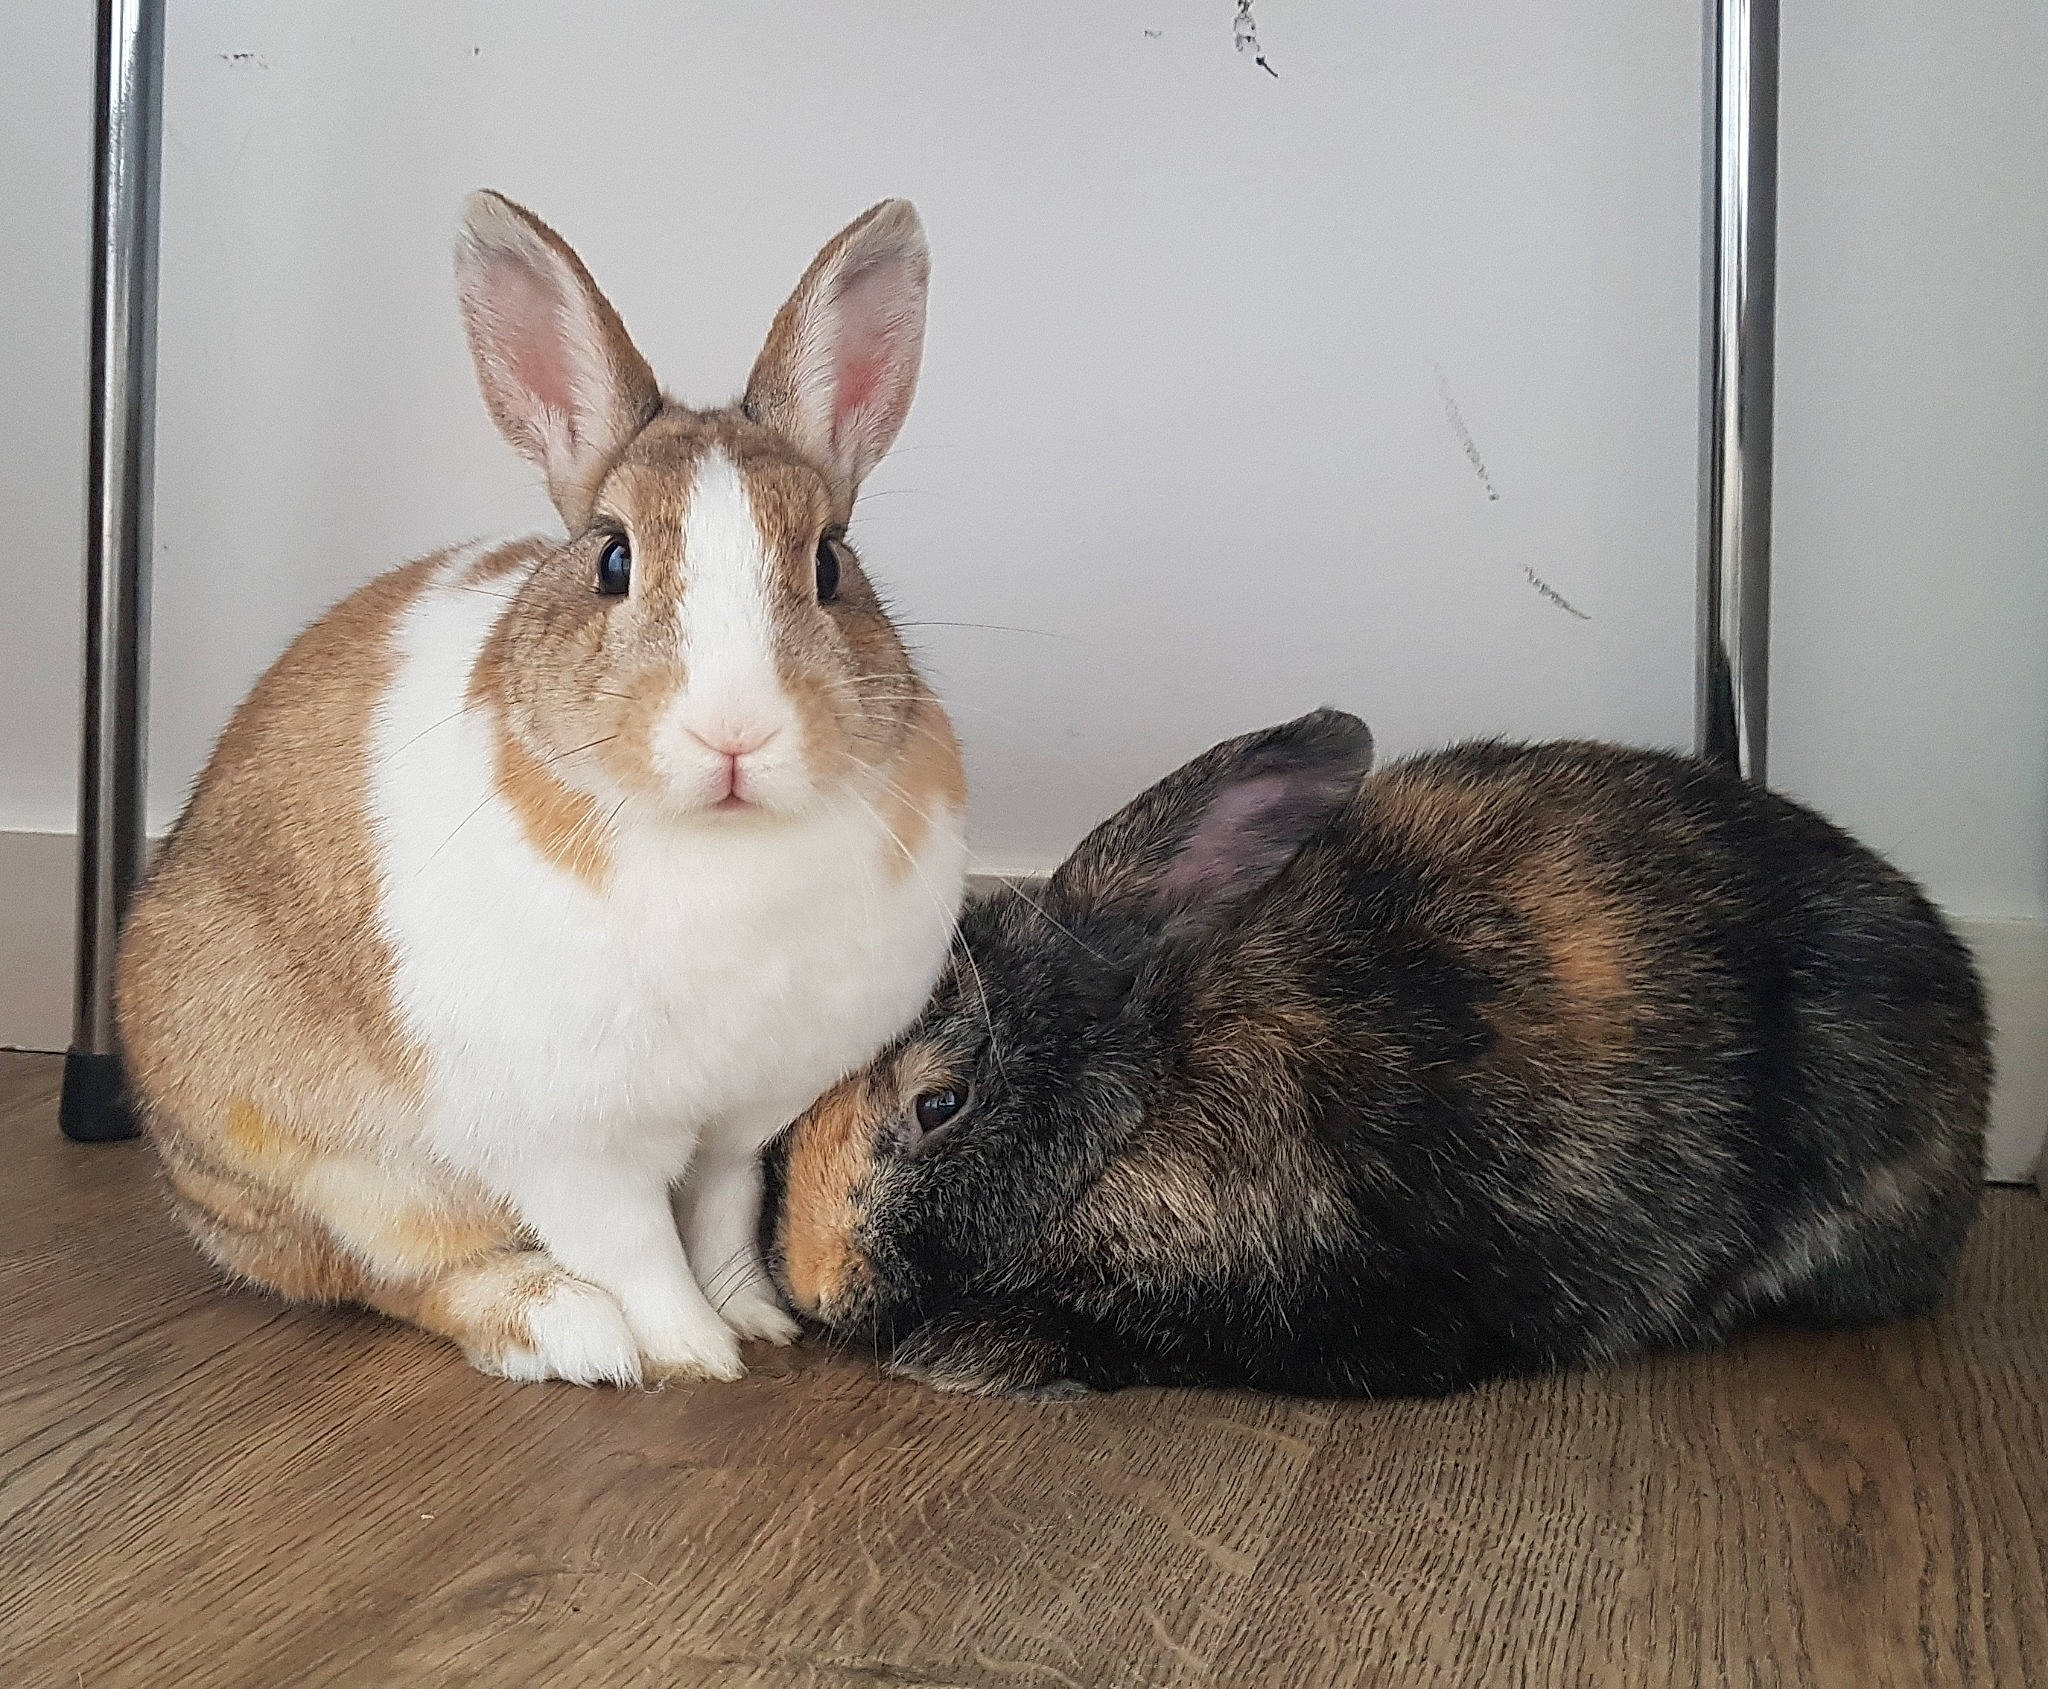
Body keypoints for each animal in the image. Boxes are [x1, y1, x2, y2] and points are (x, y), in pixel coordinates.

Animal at [116, 191, 969, 1386]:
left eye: (829, 563)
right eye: (612, 558)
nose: (735, 731)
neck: (721, 838)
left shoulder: (736, 1130)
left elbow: (717, 1217)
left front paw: (754, 1321)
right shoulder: (575, 1147)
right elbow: (636, 1245)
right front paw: (694, 1354)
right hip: (334, 1169)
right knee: (384, 1272)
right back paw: (564, 1328)